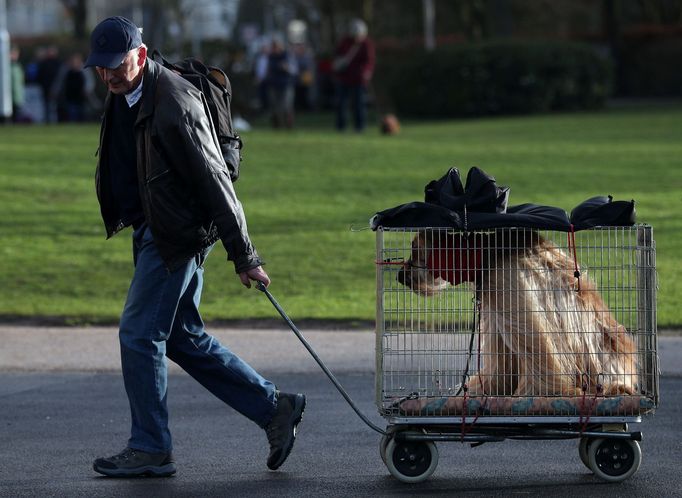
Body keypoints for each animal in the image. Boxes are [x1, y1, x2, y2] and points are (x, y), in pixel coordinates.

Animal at [396, 230, 636, 396]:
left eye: (415, 251)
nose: (399, 274)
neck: (486, 251)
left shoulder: (505, 280)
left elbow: (538, 353)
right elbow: (501, 360)